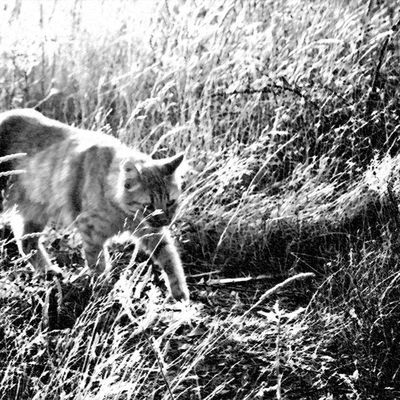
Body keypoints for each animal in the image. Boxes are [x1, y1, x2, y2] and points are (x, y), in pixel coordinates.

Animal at [0, 108, 190, 302]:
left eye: (170, 202)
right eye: (149, 207)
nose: (164, 220)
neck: (125, 215)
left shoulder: (152, 232)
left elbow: (170, 259)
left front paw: (179, 293)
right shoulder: (90, 232)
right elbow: (98, 265)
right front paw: (103, 292)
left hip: (35, 212)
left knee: (26, 243)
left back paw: (47, 271)